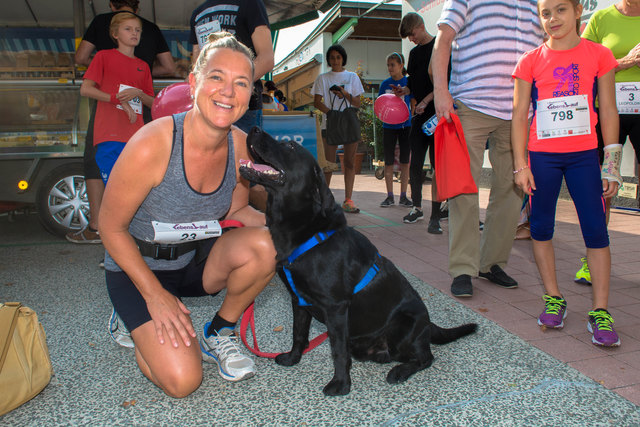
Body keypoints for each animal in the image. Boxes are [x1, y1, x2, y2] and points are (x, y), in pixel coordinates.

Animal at [240, 128, 476, 398]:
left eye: (290, 146)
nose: (253, 130)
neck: (307, 230)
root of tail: (429, 324)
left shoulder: (336, 307)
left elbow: (338, 351)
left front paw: (341, 384)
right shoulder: (298, 300)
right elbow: (298, 334)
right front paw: (293, 358)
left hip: (404, 326)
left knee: (425, 357)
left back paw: (400, 371)